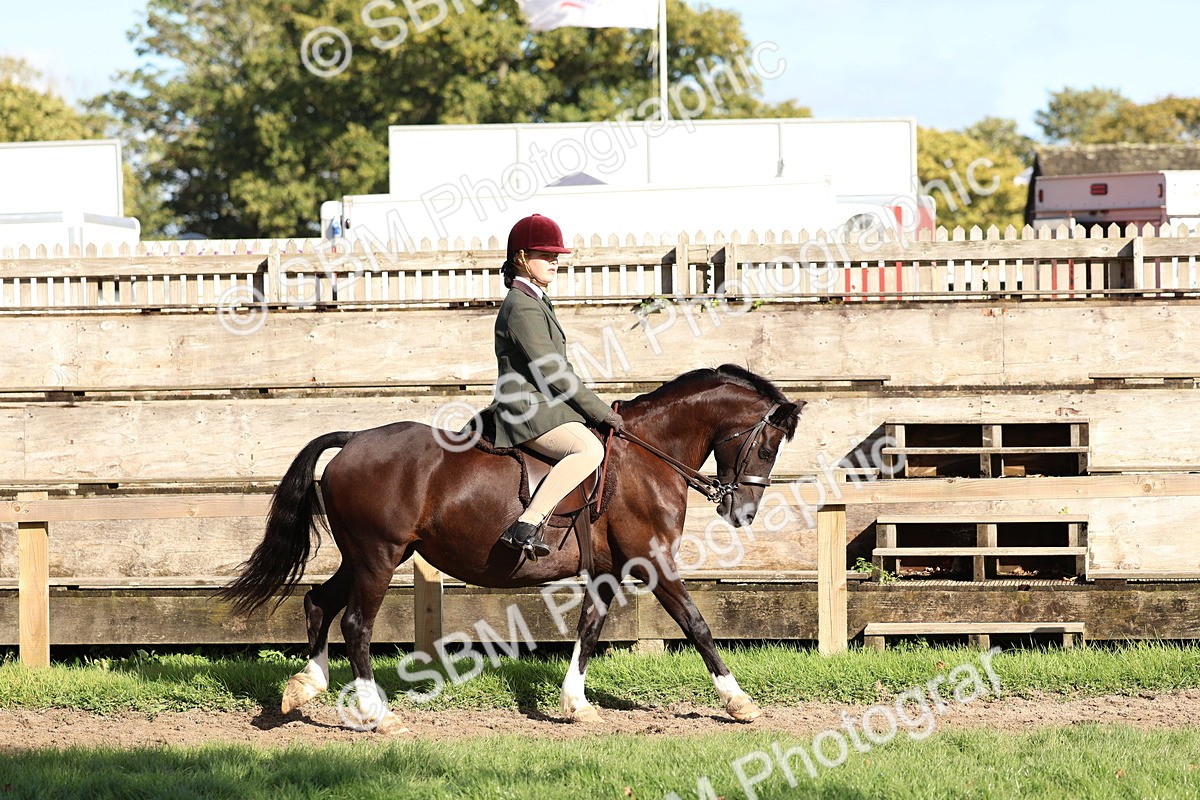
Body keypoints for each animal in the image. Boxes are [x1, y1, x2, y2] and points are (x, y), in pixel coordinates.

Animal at [221, 363, 803, 731]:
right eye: (768, 446)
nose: (743, 513)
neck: (648, 455)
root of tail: (354, 440)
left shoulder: (608, 571)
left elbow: (589, 627)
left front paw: (575, 704)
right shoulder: (655, 562)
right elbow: (696, 623)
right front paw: (738, 701)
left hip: (370, 557)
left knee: (319, 602)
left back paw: (306, 687)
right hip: (378, 557)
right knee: (355, 625)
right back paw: (379, 716)